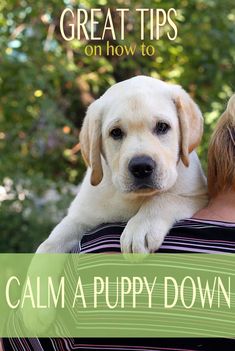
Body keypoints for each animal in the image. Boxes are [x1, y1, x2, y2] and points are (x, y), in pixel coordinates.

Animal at [35, 75, 207, 254]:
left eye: (162, 126)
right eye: (116, 132)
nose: (141, 167)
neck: (134, 198)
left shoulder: (197, 196)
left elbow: (165, 198)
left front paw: (140, 228)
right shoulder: (80, 216)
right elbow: (52, 241)